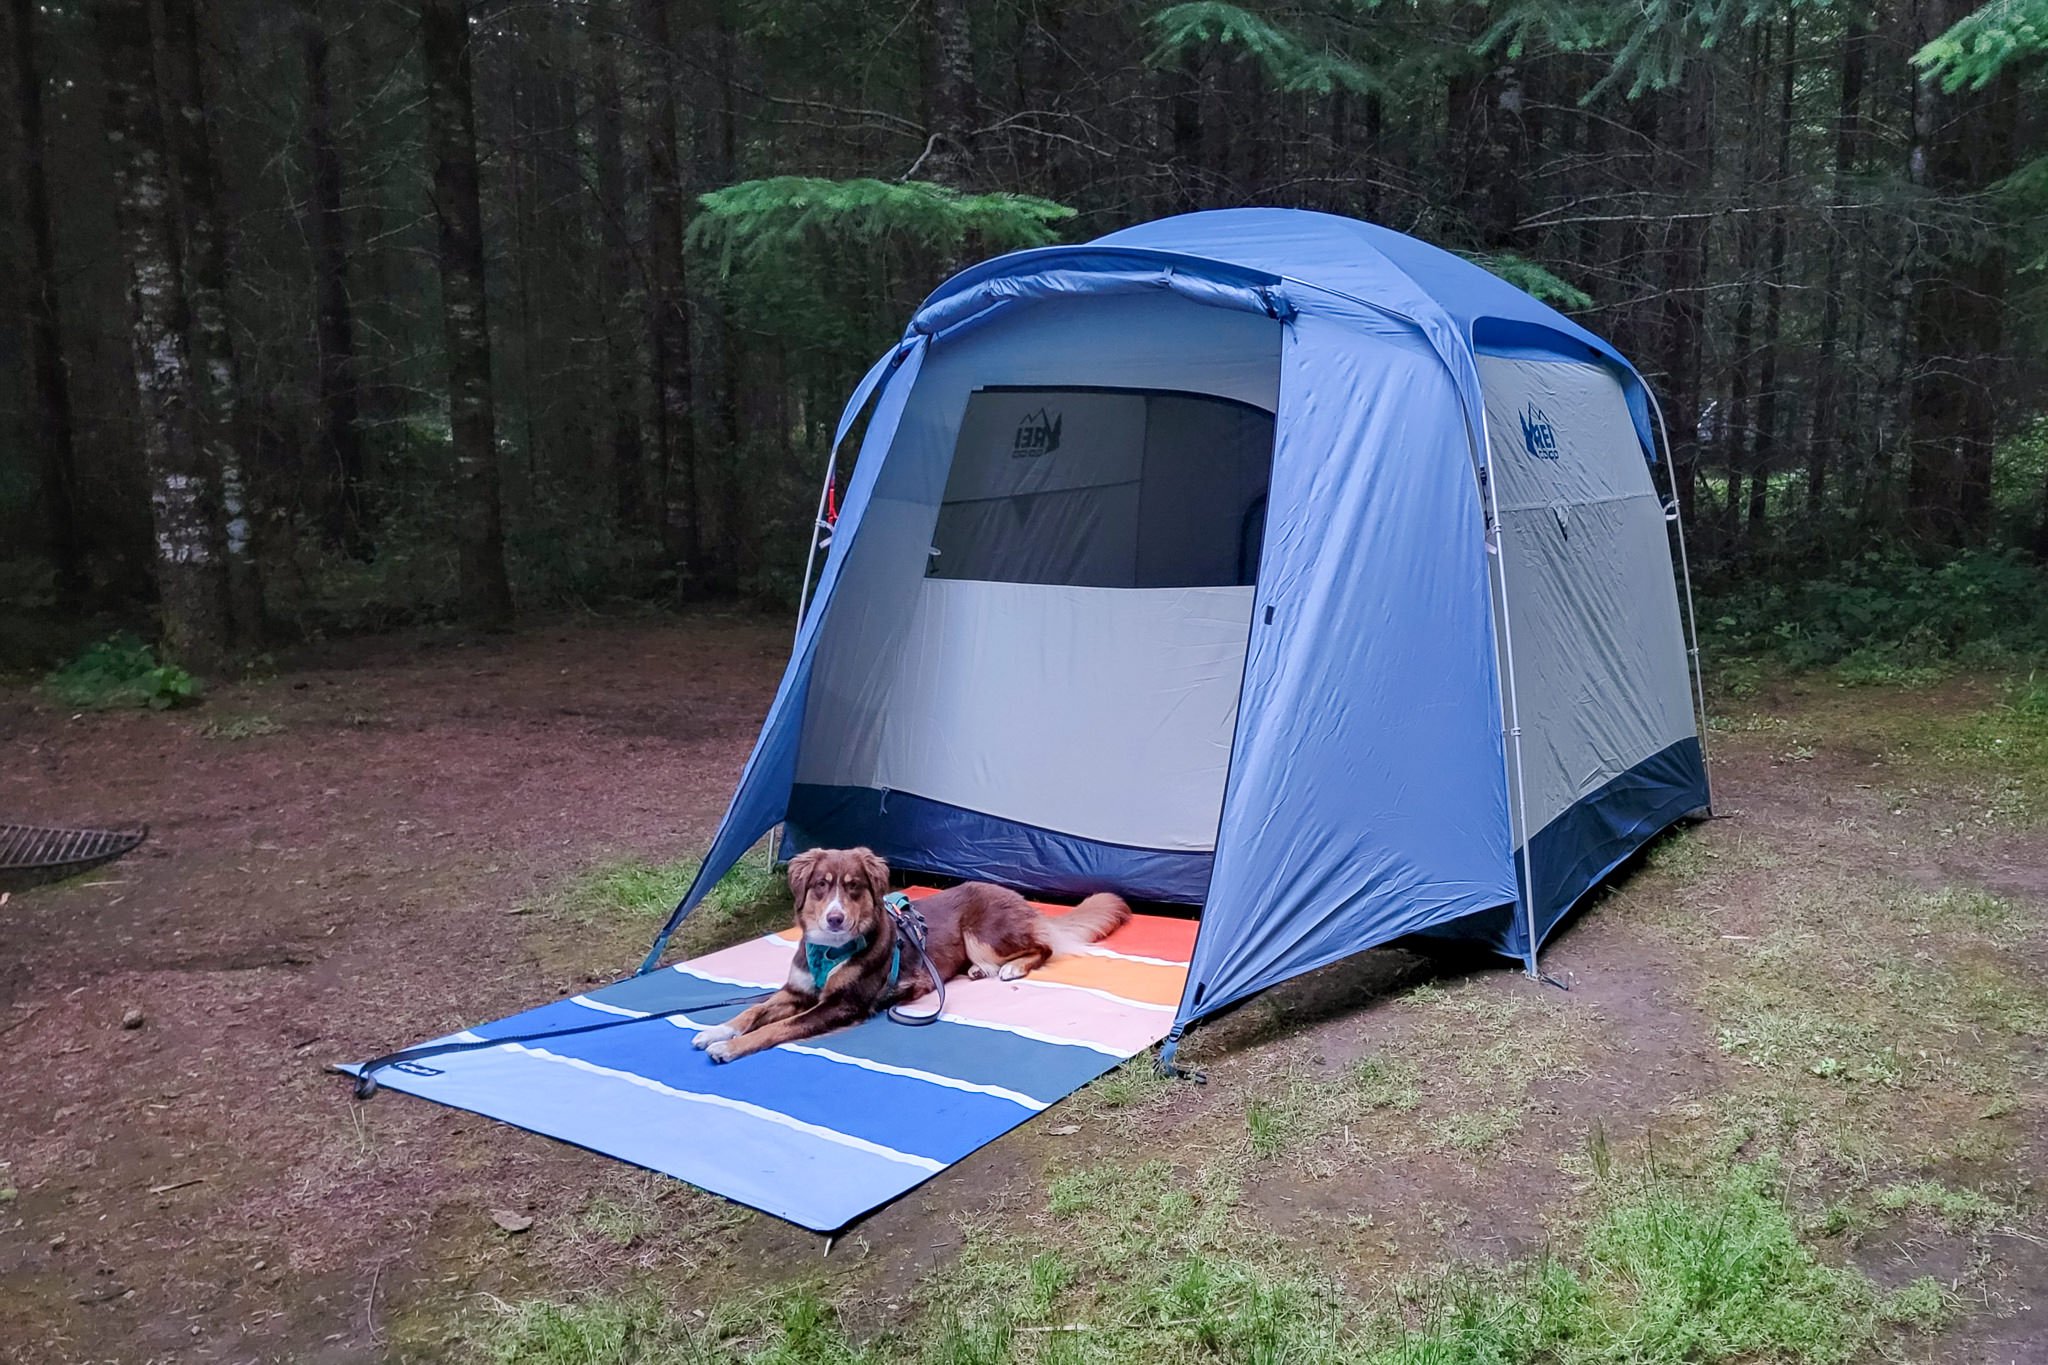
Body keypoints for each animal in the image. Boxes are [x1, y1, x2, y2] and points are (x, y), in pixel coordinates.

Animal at [696, 847, 1130, 1064]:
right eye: (821, 885)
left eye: (853, 887)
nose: (835, 919)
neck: (829, 949)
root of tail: (1018, 897)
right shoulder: (796, 991)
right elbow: (752, 1012)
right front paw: (716, 1031)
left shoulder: (841, 1005)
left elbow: (776, 1028)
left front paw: (729, 1049)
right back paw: (979, 971)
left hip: (983, 932)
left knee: (1043, 947)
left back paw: (1010, 968)